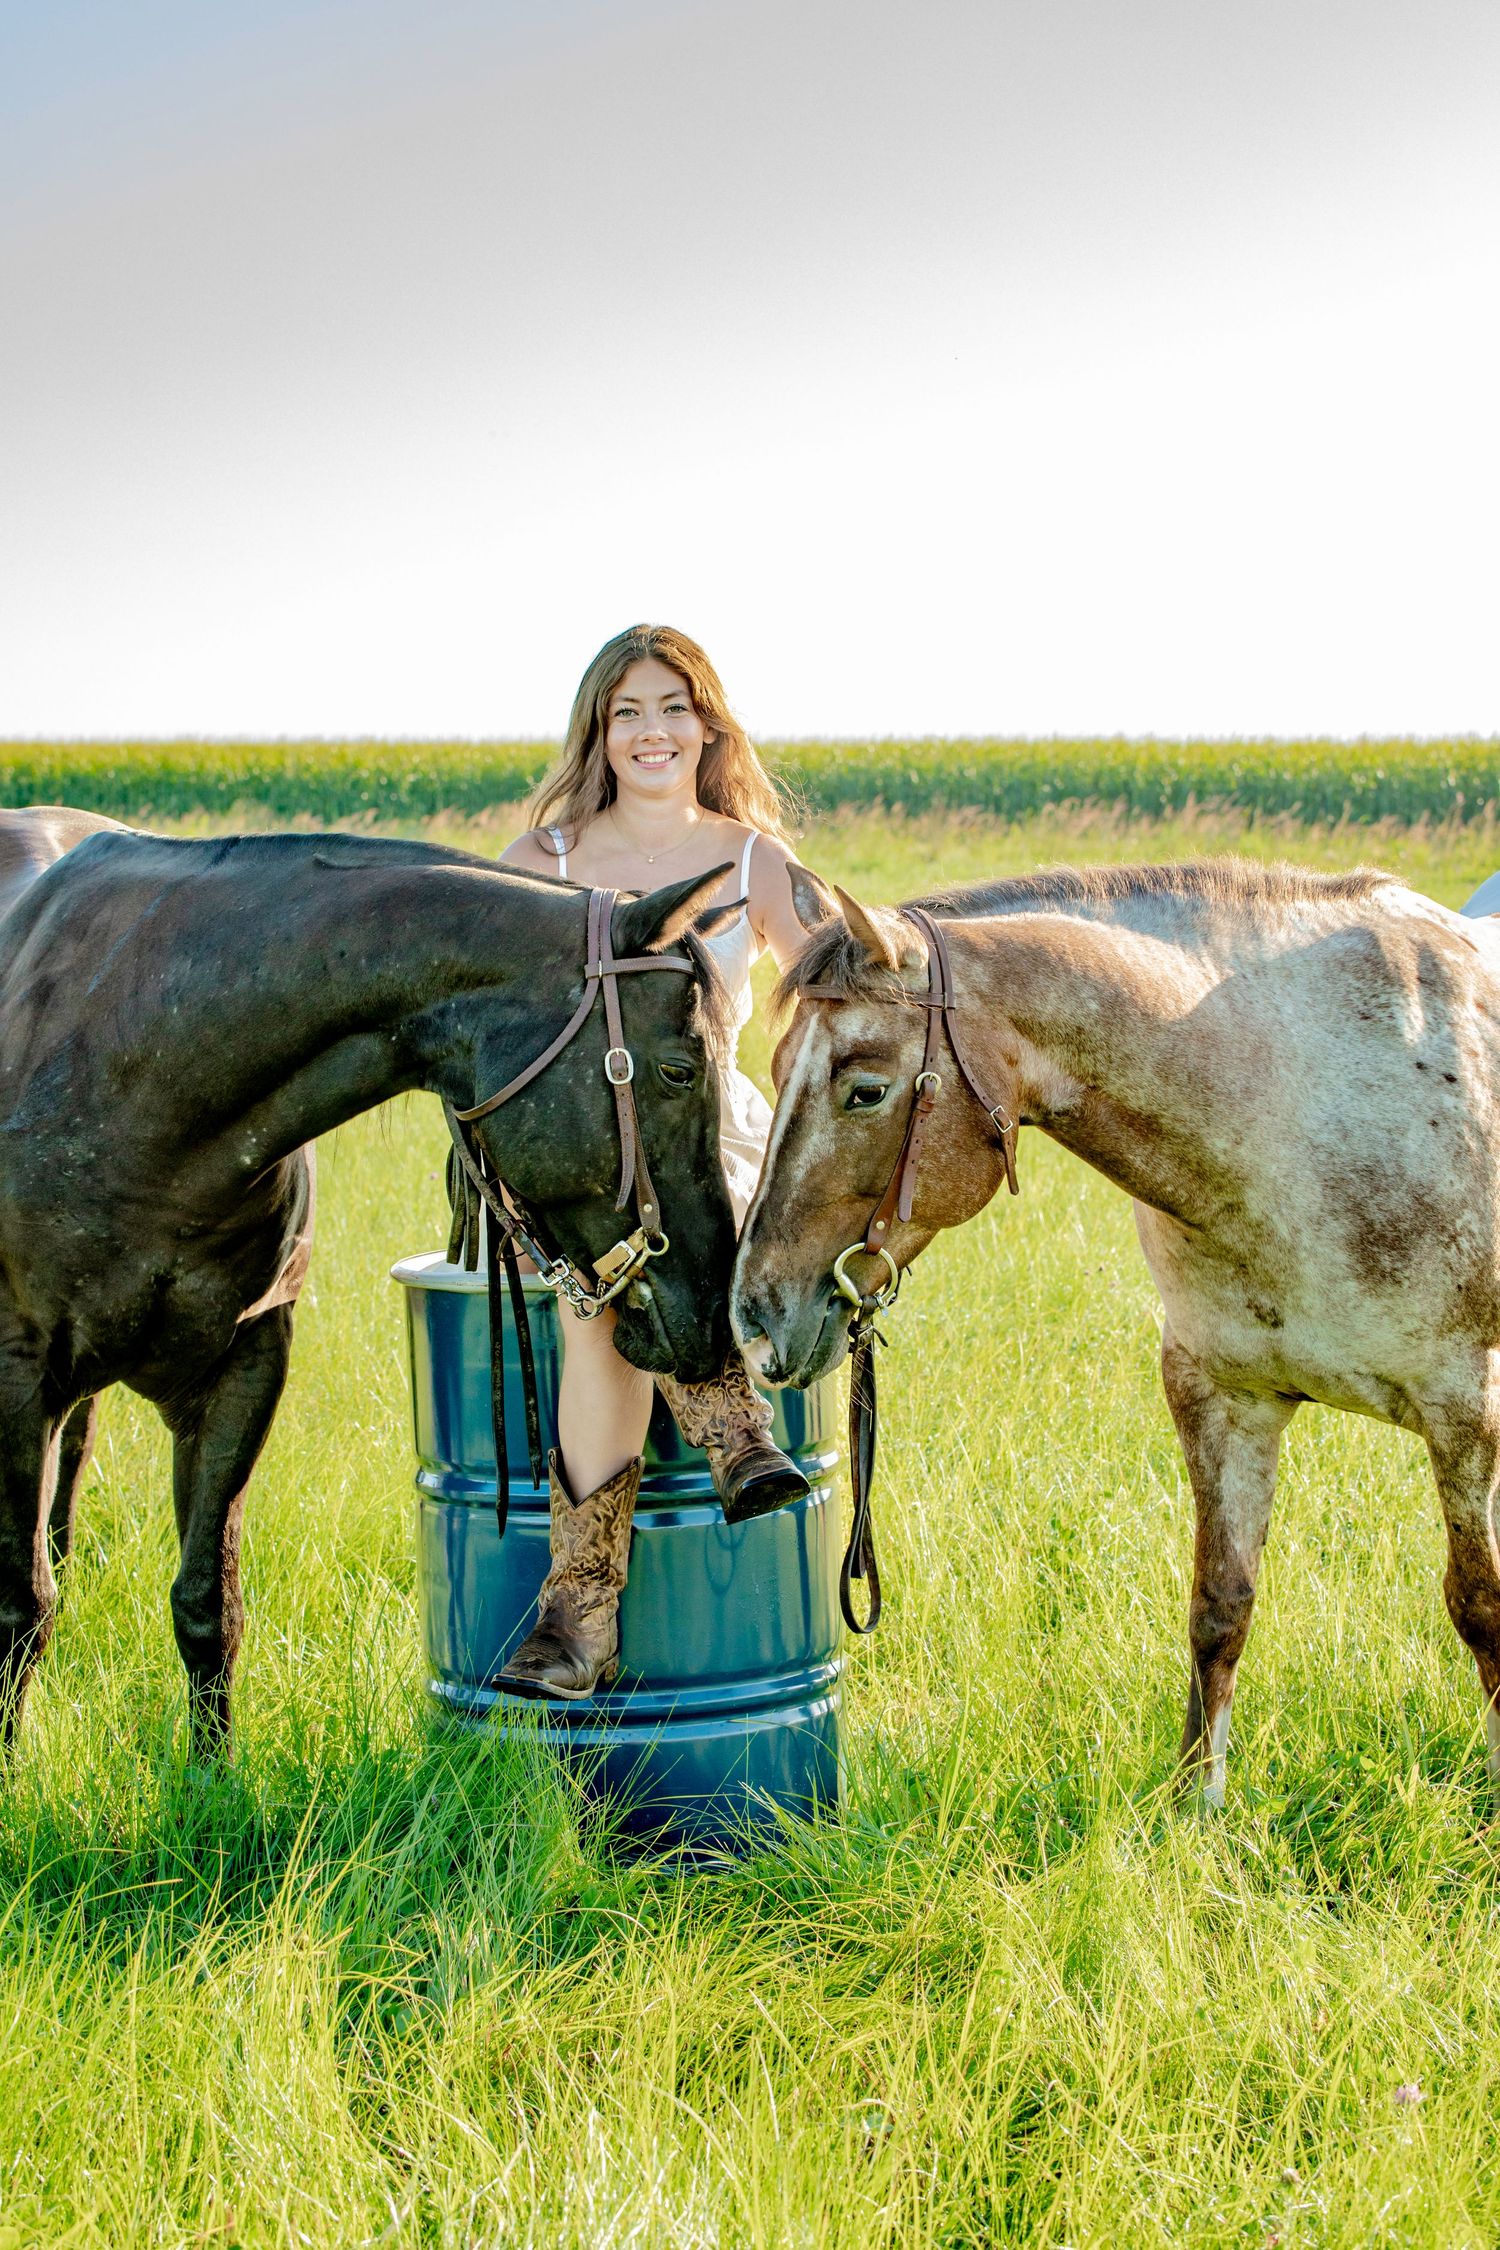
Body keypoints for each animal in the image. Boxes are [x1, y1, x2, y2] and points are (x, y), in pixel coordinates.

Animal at [0, 810, 740, 1757]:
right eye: (681, 1069)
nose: (714, 1314)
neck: (143, 1060)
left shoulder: (244, 1370)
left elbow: (208, 1604)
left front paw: (210, 1777)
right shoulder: (20, 1380)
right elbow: (23, 1609)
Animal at [732, 859, 1500, 1806]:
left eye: (864, 1089)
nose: (754, 1313)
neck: (1304, 1107)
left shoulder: (1464, 1410)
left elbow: (1481, 1607)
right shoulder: (1223, 1398)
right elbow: (1220, 1607)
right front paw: (1196, 1810)